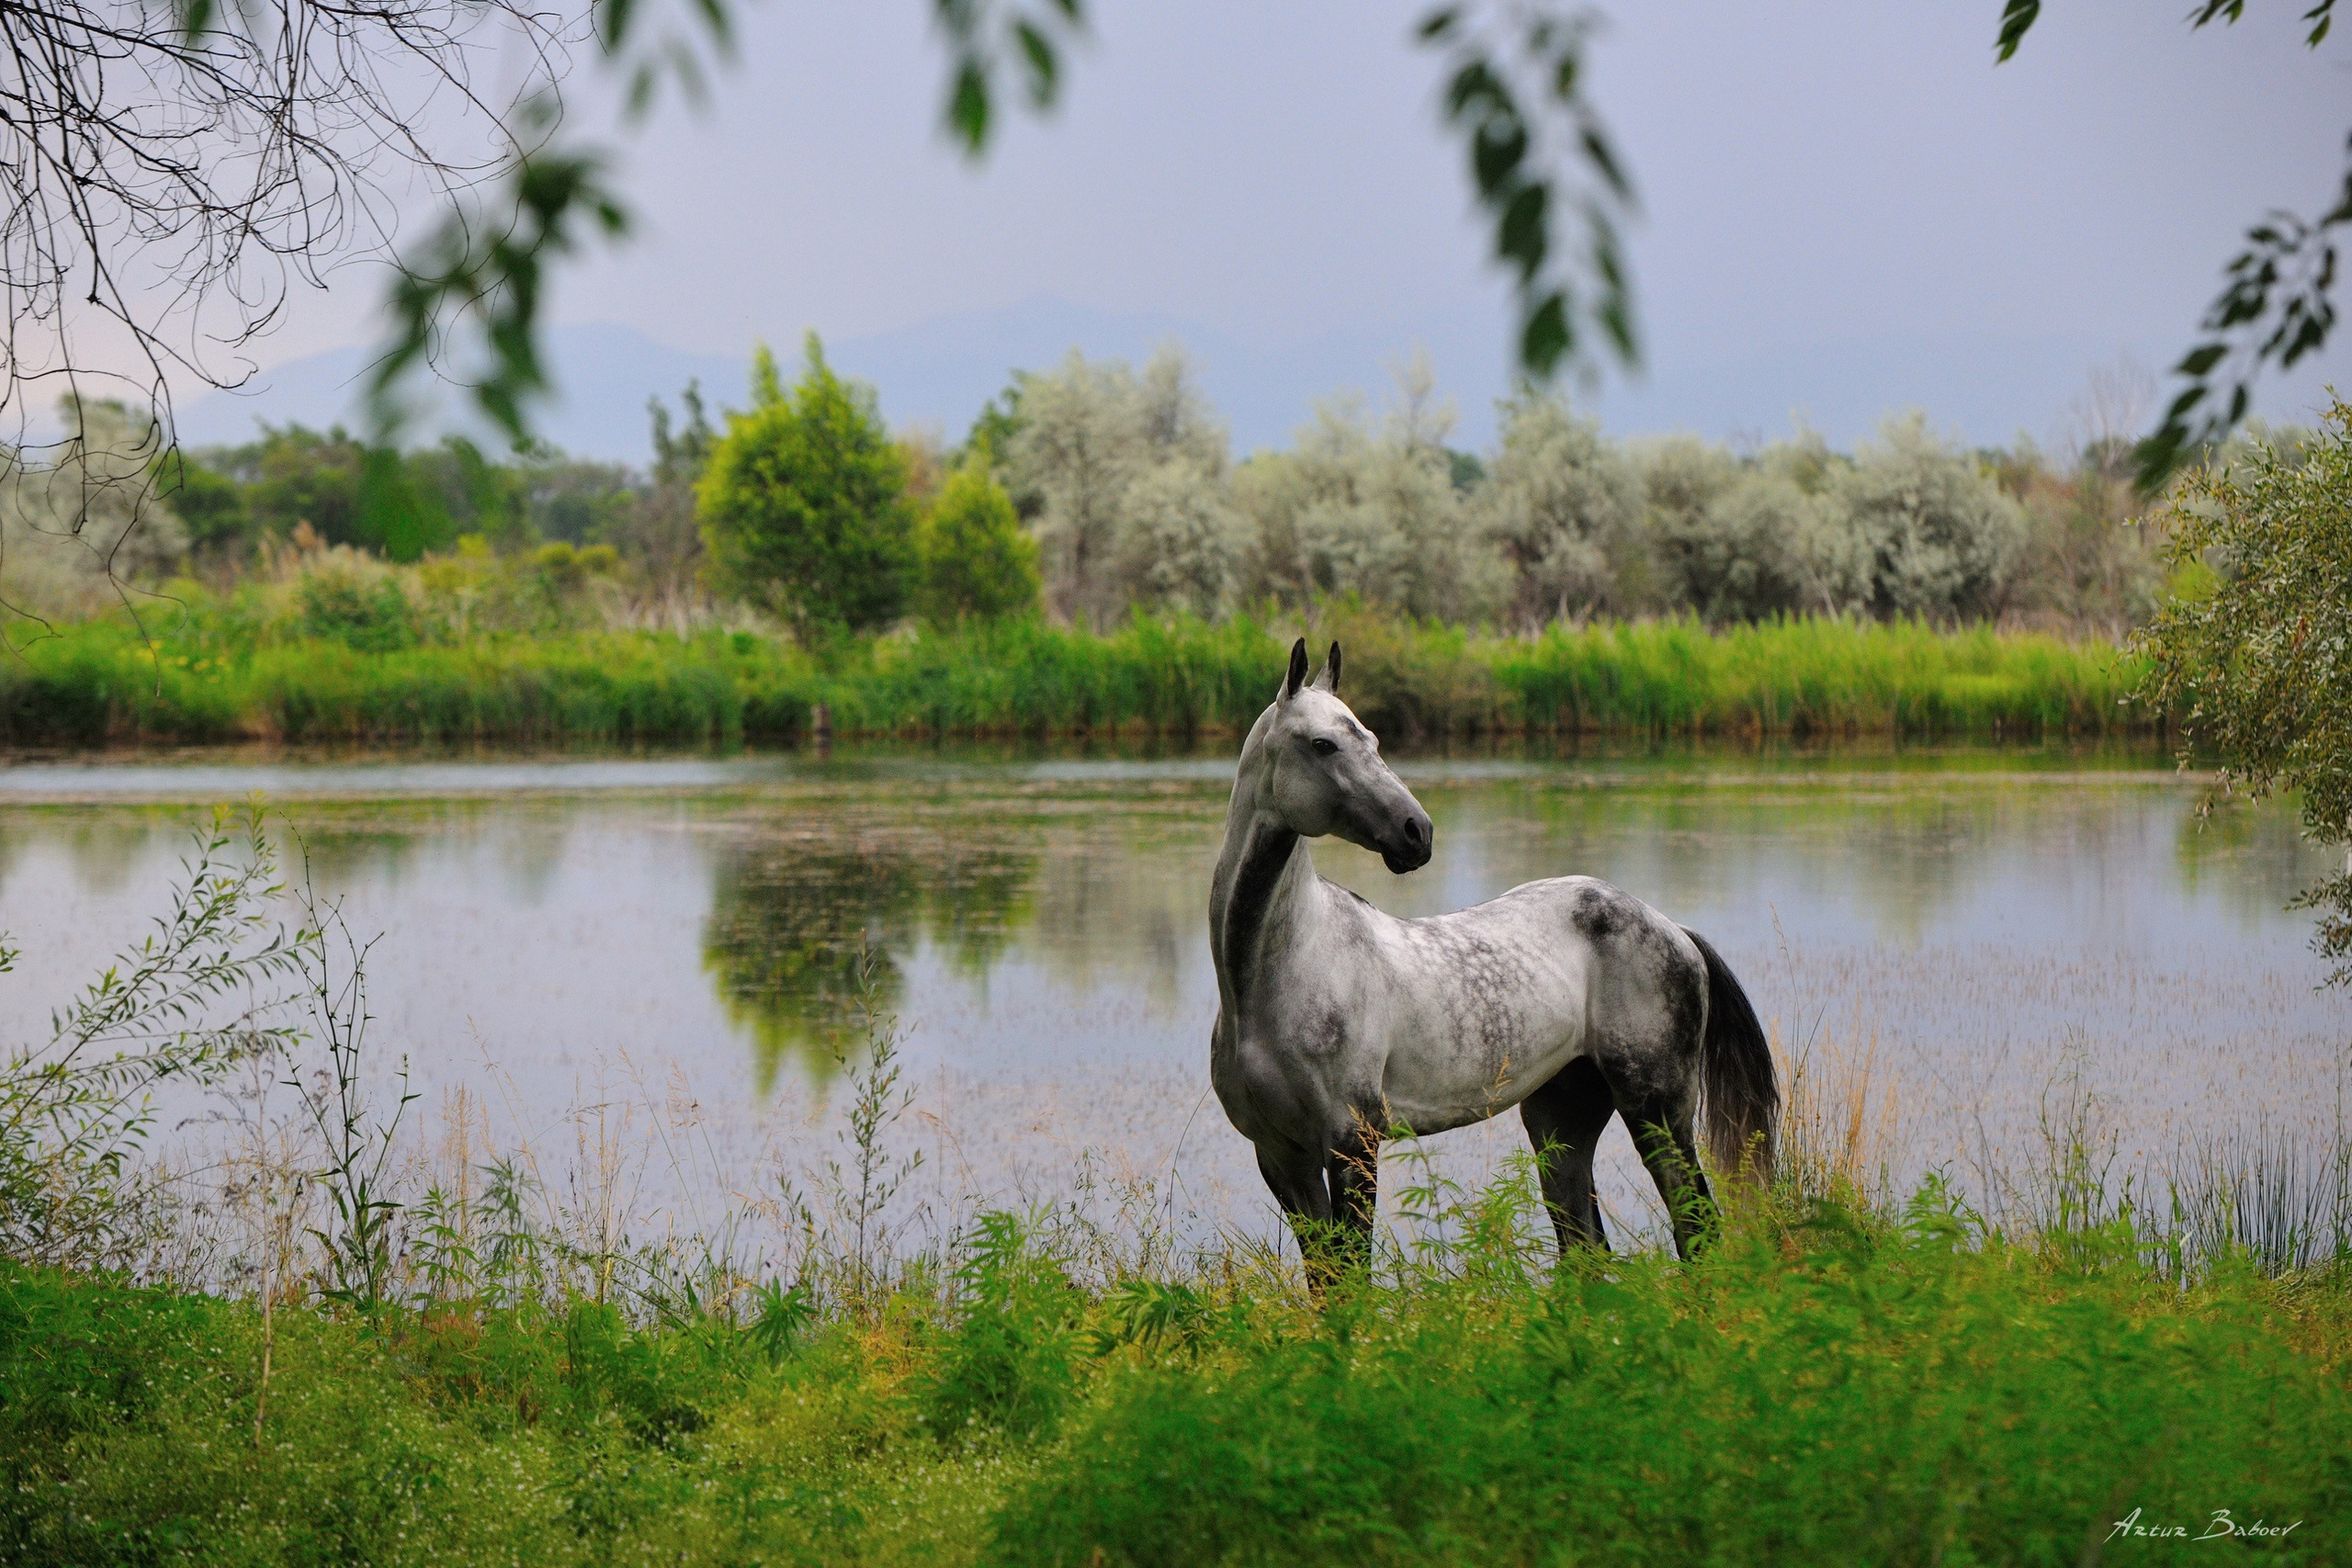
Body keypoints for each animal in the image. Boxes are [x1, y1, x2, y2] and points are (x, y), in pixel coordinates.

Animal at [1207, 637, 1779, 1278]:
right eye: (1322, 744)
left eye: (1373, 740)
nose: (1417, 833)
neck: (1270, 983)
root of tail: (1671, 927)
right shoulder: (1282, 1156)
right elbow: (1327, 1280)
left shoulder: (1352, 1145)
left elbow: (1352, 1281)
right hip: (1561, 1120)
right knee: (1587, 1250)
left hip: (1657, 1109)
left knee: (1697, 1231)